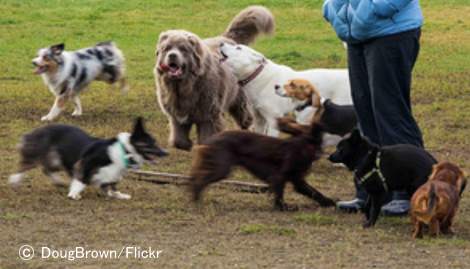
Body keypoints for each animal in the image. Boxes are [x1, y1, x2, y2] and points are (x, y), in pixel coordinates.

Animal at [154, 6, 274, 150]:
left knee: (245, 117)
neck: (185, 86)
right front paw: (186, 145)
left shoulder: (209, 114)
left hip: (239, 99)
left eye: (183, 49)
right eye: (167, 48)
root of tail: (228, 39)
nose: (172, 55)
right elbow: (179, 139)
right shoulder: (177, 114)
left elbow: (207, 135)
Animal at [189, 116, 336, 210]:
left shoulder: (298, 180)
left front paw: (329, 202)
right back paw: (196, 200)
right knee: (199, 181)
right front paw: (283, 207)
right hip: (221, 168)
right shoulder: (279, 176)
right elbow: (279, 194)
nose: (323, 153)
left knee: (197, 178)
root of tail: (210, 140)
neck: (304, 145)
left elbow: (314, 192)